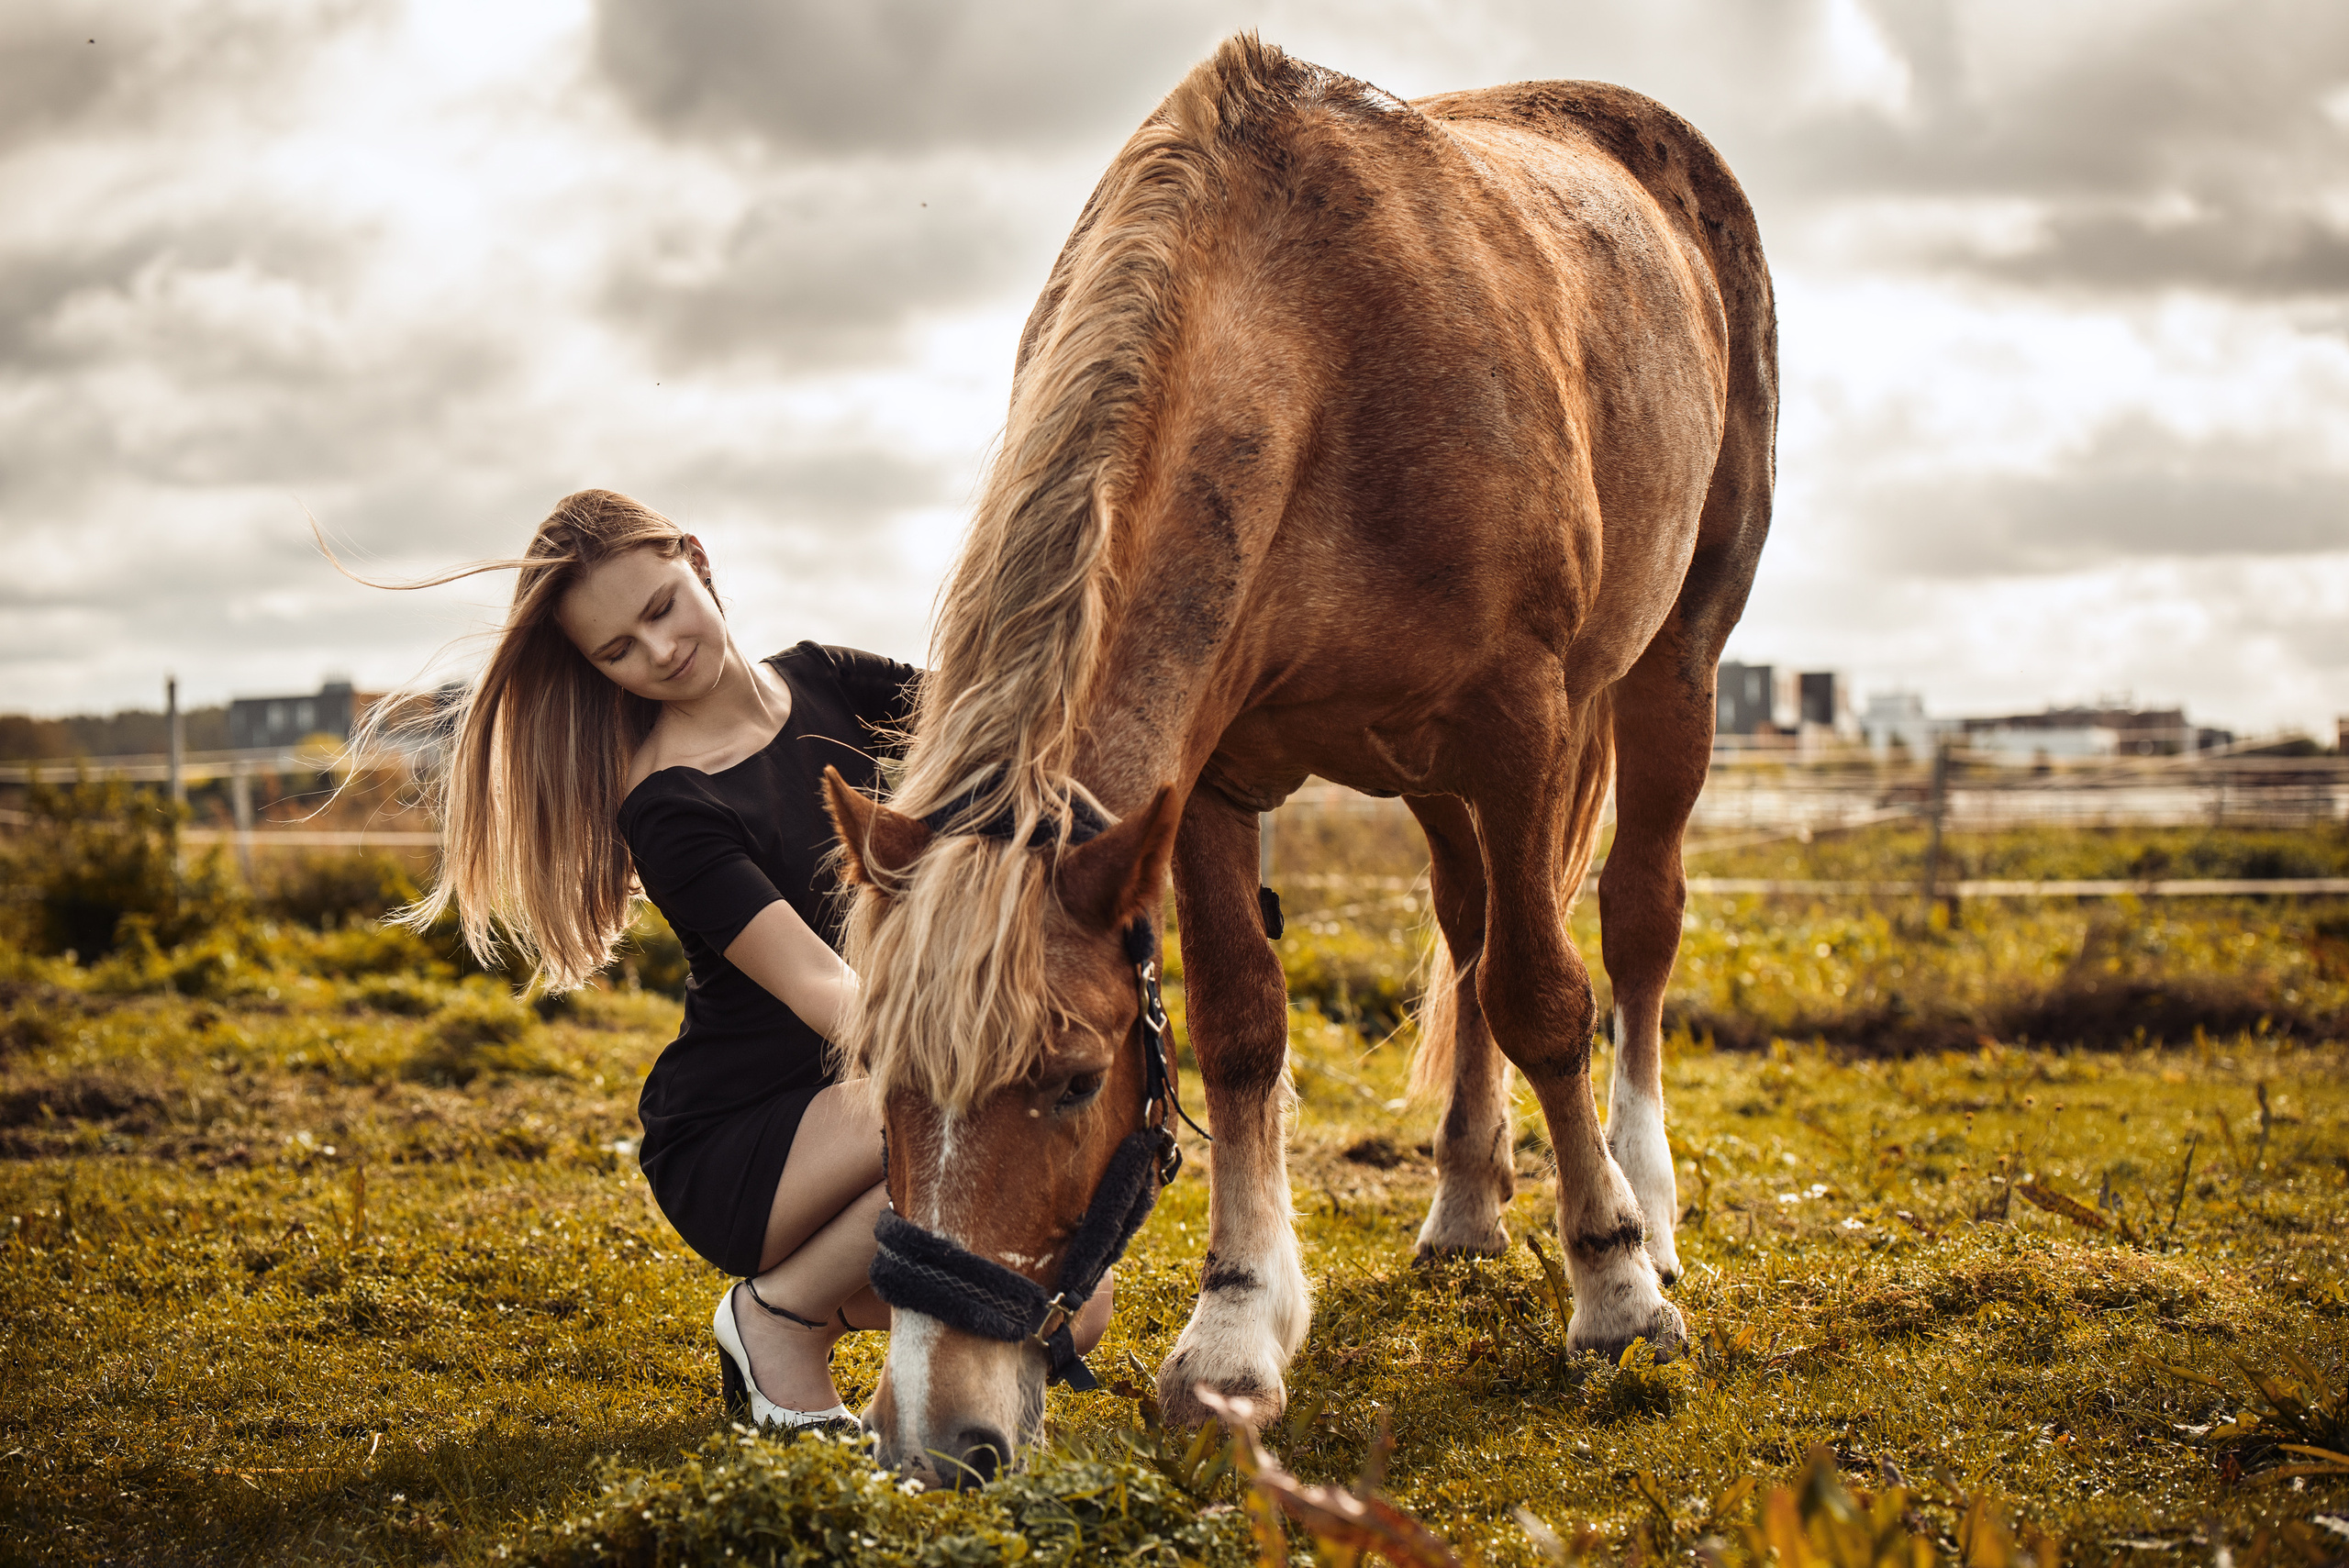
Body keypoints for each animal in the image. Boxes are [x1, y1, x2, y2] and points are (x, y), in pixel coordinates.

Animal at [822, 34, 1775, 1485]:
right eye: (882, 1077)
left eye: (1072, 1081)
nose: (936, 1437)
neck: (1324, 365)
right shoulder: (1206, 778)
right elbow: (1242, 1024)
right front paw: (1235, 1330)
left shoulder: (1521, 727)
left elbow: (1549, 998)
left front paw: (1614, 1293)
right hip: (1437, 780)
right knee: (1471, 931)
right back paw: (1464, 1201)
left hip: (1667, 670)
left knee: (1628, 925)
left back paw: (1643, 1203)